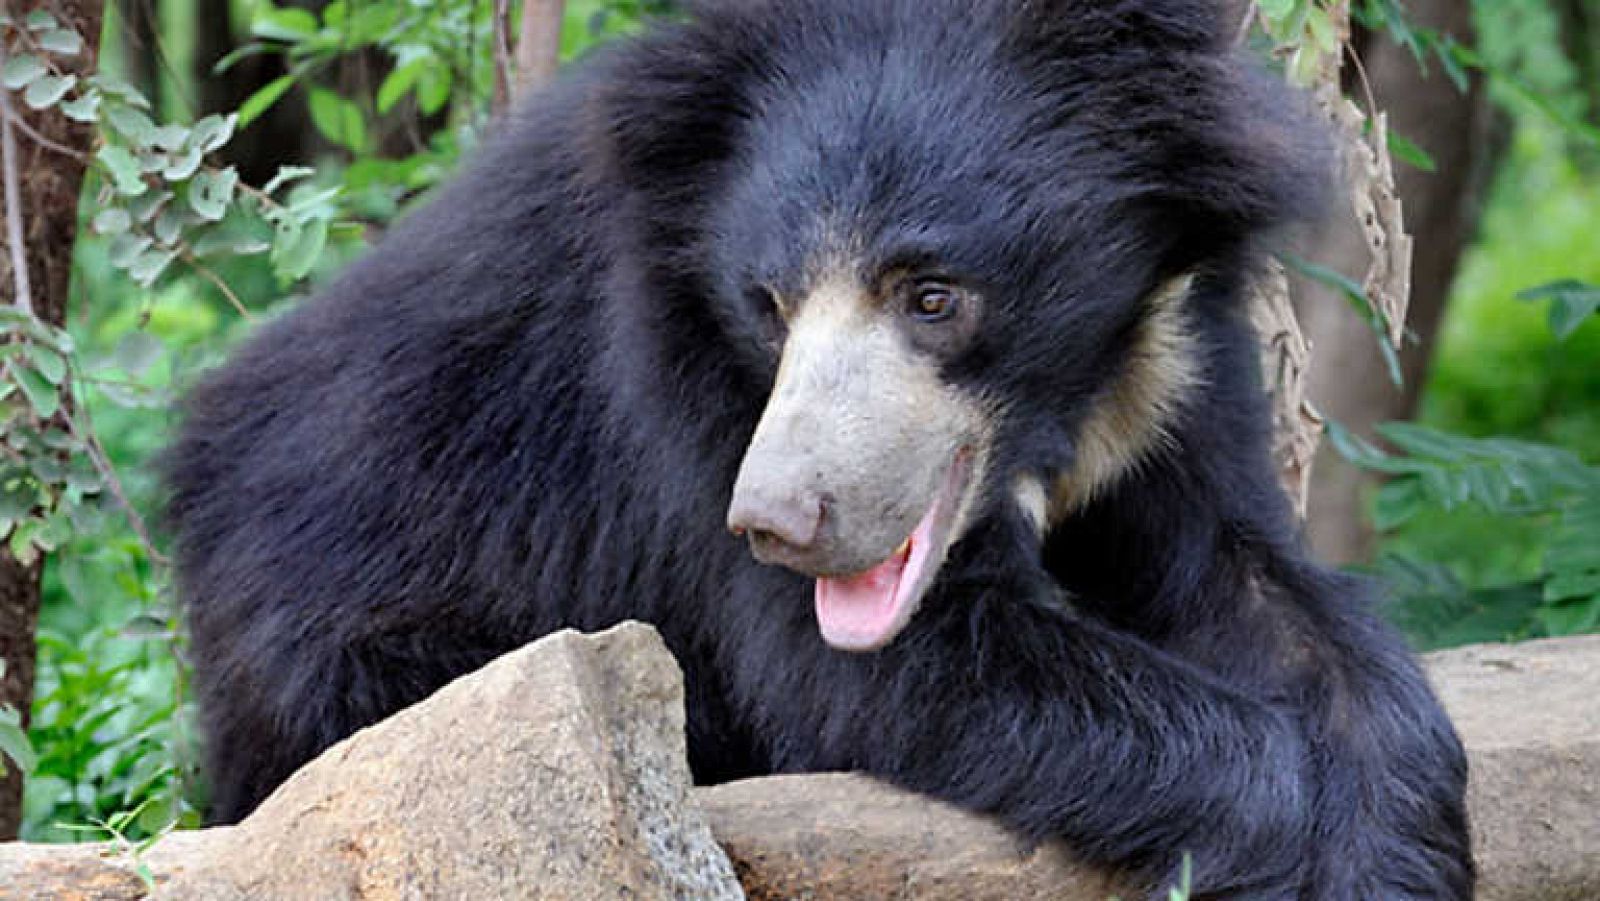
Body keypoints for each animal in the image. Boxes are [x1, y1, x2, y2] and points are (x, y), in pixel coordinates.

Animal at [163, 0, 1474, 896]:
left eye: (933, 297)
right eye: (769, 304)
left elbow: (1257, 588)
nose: (781, 523)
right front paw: (1294, 834)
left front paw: (1393, 844)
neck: (1053, 407)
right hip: (348, 641)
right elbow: (863, 673)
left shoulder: (1169, 357)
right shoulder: (678, 381)